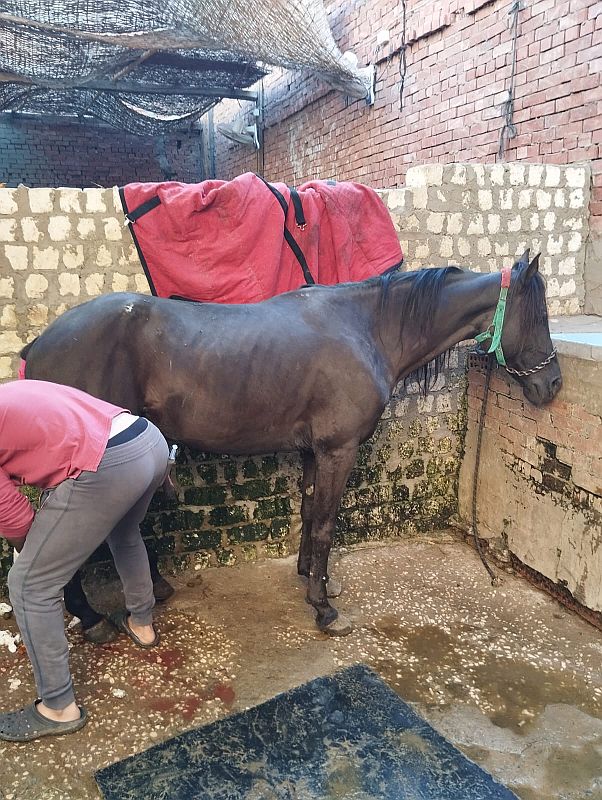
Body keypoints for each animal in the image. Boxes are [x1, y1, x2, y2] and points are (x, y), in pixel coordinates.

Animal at [22, 253, 556, 636]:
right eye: (538, 315)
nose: (551, 385)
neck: (365, 329)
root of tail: (40, 344)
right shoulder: (338, 450)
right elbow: (325, 524)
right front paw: (323, 609)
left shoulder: (312, 451)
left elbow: (308, 512)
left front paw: (310, 578)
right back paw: (89, 619)